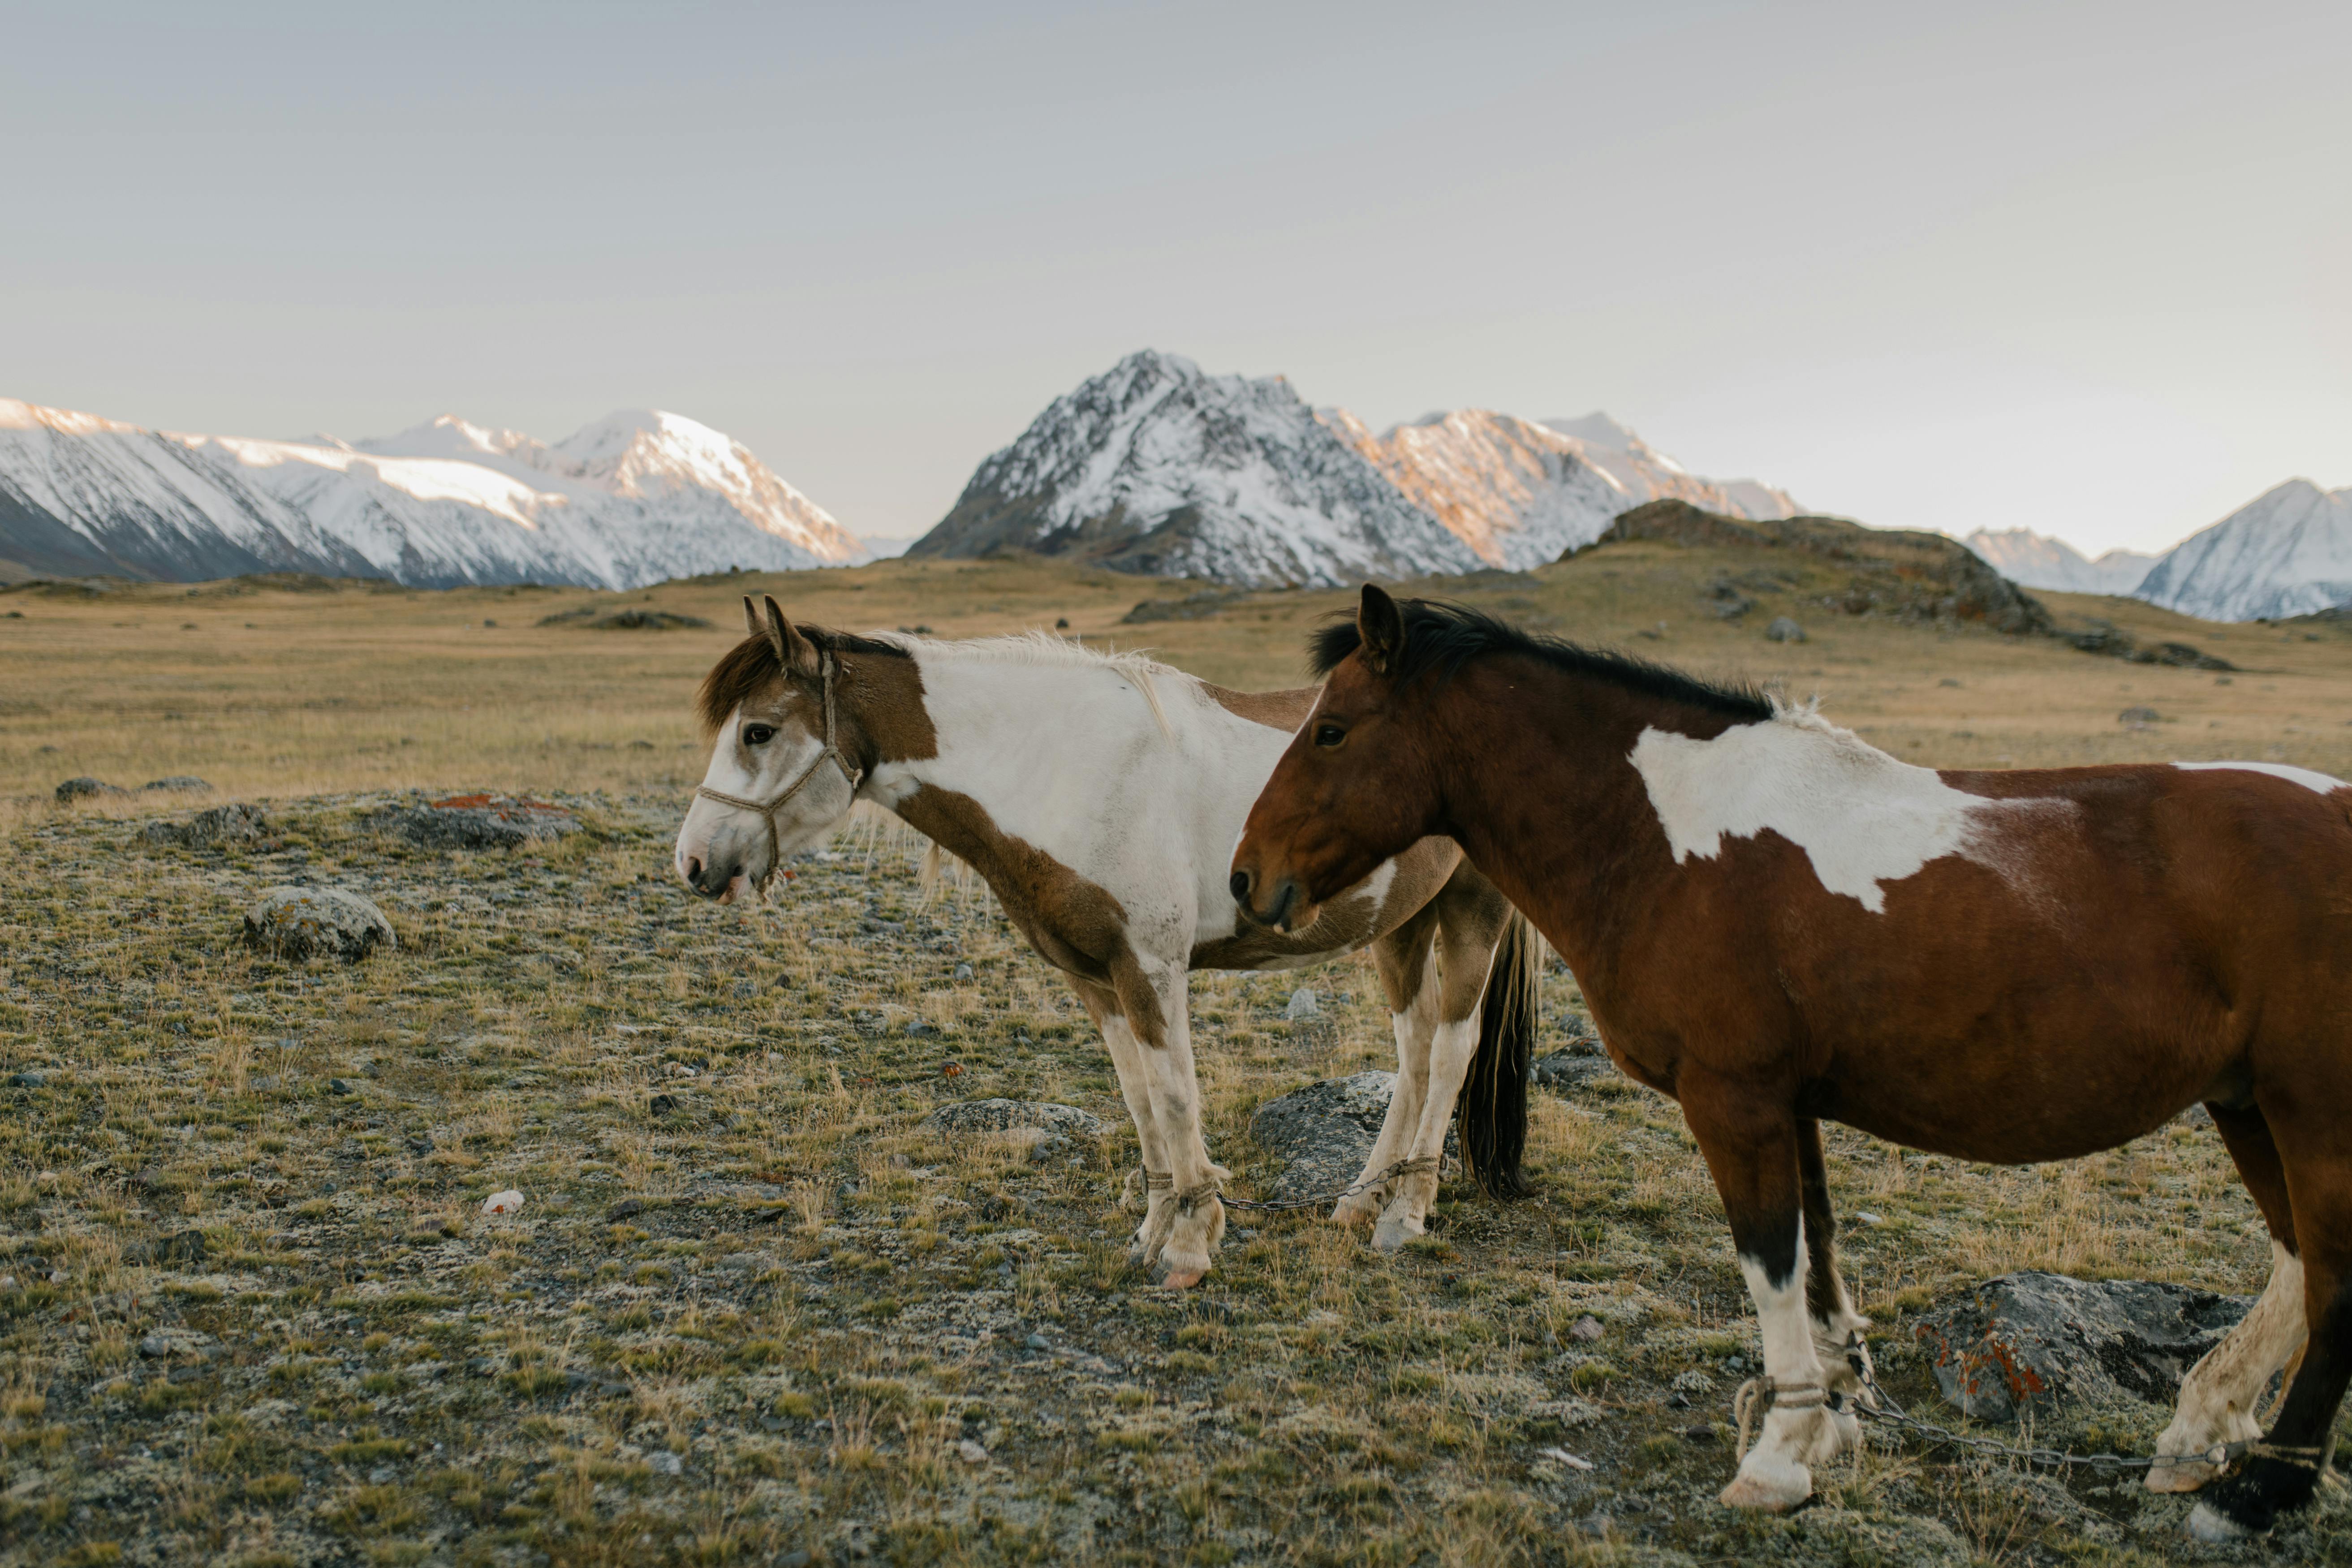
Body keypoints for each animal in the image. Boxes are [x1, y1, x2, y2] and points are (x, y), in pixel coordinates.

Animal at [673, 595, 1540, 1286]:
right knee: (1415, 1047)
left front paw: (1191, 1245)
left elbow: (1178, 1095)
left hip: (1471, 910)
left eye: (758, 731)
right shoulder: (1094, 977)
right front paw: (1153, 1231)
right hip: (1399, 920)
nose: (693, 862)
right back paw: (1362, 1199)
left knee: (1452, 1047)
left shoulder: (1151, 968)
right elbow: (1139, 1097)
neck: (1068, 772)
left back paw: (1406, 1214)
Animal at [1228, 585, 2350, 1540]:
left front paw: (1776, 1457)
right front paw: (1826, 1419)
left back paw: (2261, 1490)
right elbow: (1816, 1268)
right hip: (2247, 1103)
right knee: (2298, 1262)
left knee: (2334, 1278)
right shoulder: (1792, 1102)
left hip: (2311, 1109)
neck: (1663, 836)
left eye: (1331, 730)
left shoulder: (1737, 1100)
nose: (1247, 878)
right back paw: (2201, 1431)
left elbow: (1768, 1262)